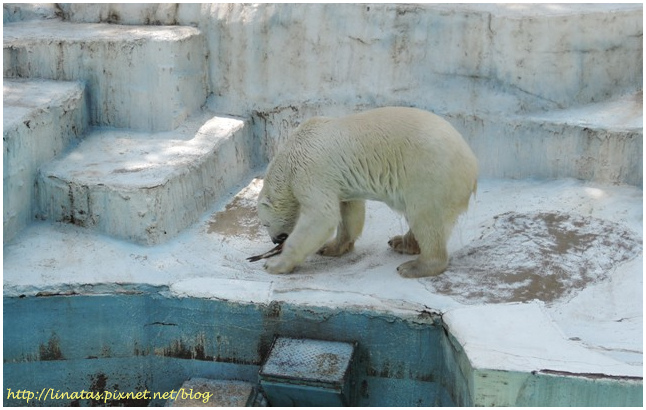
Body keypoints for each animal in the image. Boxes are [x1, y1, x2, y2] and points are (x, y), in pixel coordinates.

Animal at [256, 106, 478, 278]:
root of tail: (472, 168)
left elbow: (321, 216)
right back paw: (401, 242)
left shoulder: (309, 171)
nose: (275, 240)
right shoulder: (337, 181)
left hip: (430, 175)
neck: (288, 156)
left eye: (265, 223)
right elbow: (348, 210)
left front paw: (274, 264)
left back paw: (414, 266)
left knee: (426, 218)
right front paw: (331, 247)